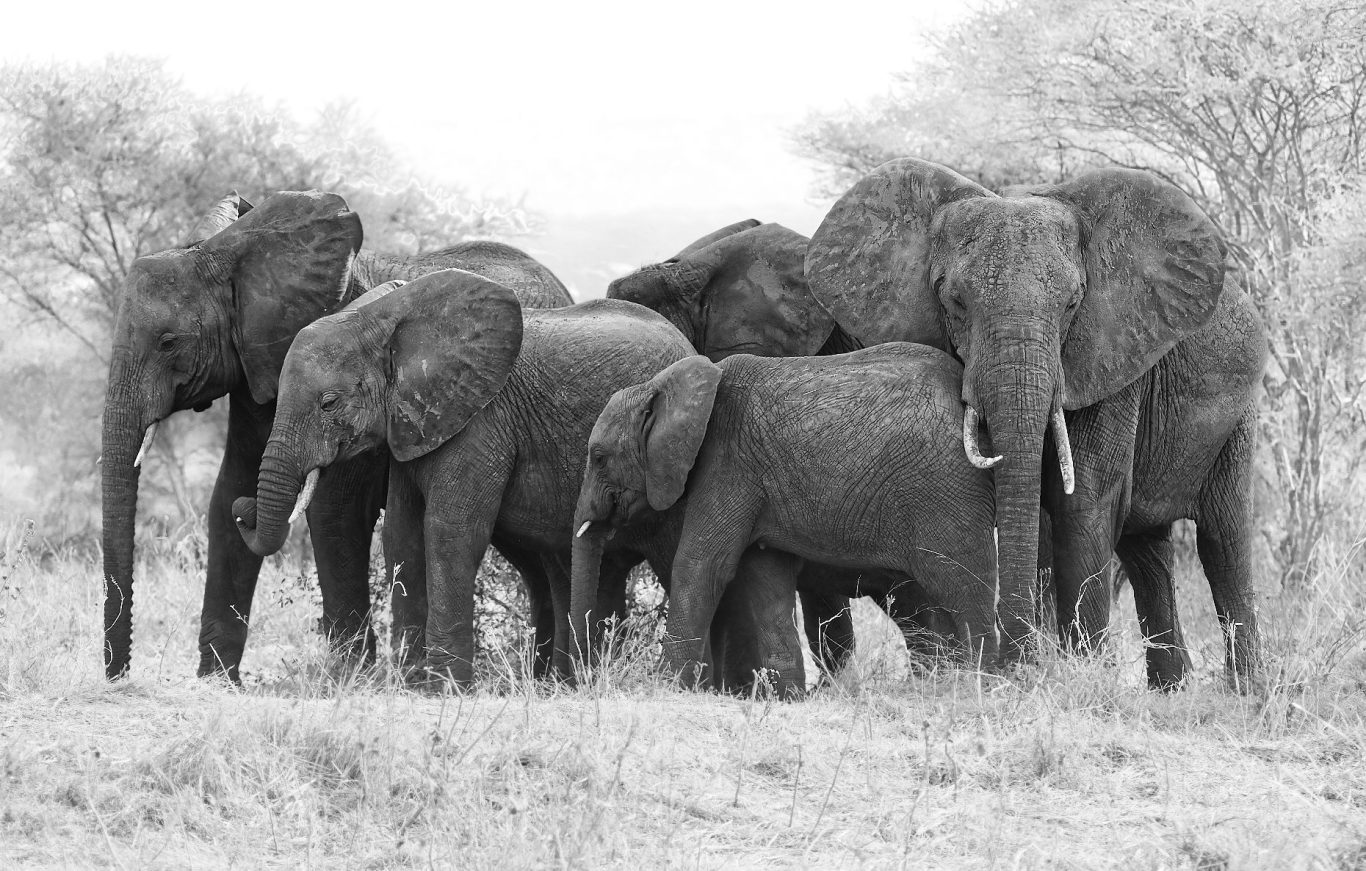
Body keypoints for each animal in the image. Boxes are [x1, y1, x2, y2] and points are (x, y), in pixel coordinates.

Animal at [101, 189, 571, 682]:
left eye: (168, 342)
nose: (118, 676)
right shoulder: (255, 373)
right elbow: (228, 491)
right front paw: (217, 680)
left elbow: (333, 508)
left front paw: (350, 675)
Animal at [232, 269, 808, 688]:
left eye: (329, 403)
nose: (242, 509)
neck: (387, 315)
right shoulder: (415, 422)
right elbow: (401, 535)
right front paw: (414, 684)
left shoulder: (482, 418)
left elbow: (450, 531)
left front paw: (446, 688)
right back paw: (568, 683)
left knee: (677, 561)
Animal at [570, 346, 1001, 696]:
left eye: (599, 457)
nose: (584, 680)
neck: (665, 387)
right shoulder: (753, 482)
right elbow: (766, 578)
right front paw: (788, 697)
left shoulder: (727, 464)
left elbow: (702, 566)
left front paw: (662, 687)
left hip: (946, 491)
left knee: (962, 584)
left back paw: (981, 684)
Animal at [805, 158, 1267, 690]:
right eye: (955, 302)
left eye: (1072, 304)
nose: (1013, 664)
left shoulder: (1109, 354)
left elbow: (1082, 500)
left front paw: (1080, 674)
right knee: (1147, 553)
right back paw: (1172, 690)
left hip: (1238, 418)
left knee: (1224, 542)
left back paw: (1247, 692)